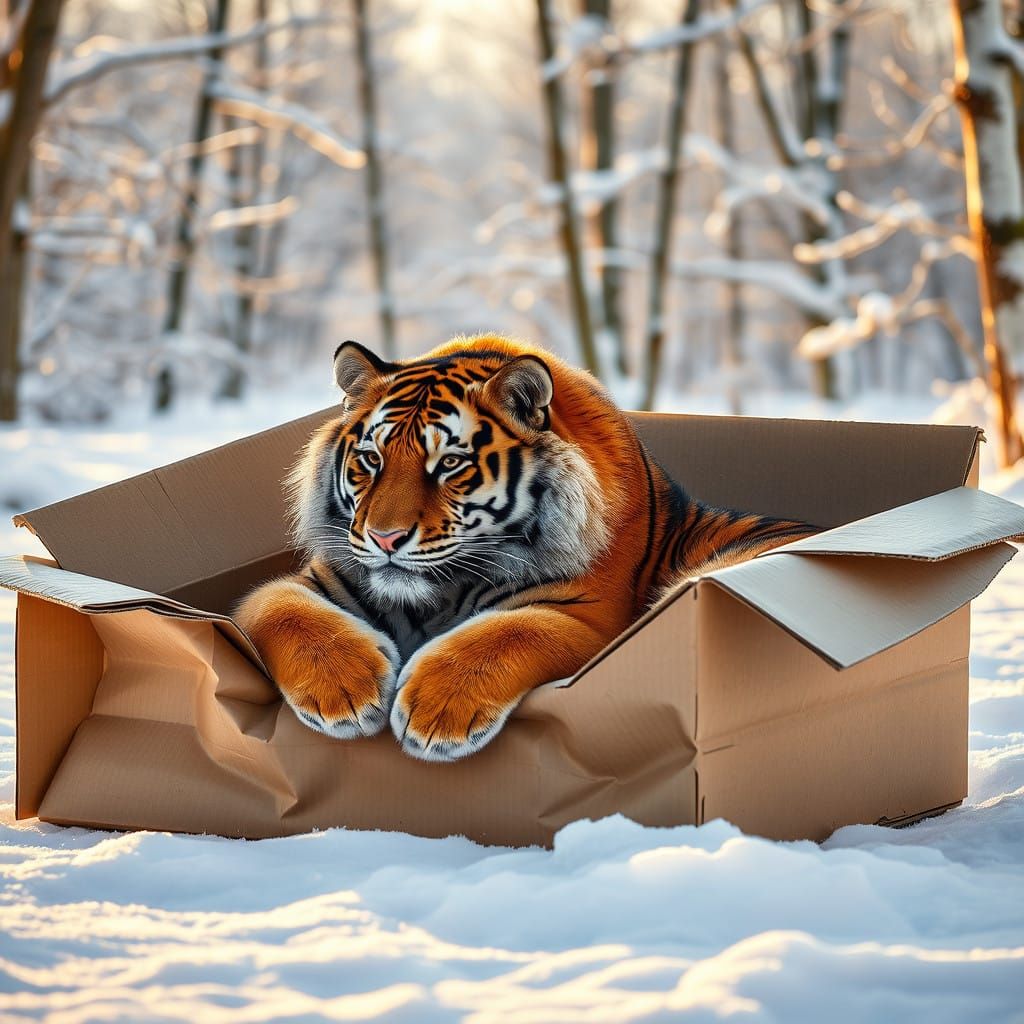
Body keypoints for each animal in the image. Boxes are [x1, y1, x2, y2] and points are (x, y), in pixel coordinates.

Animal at [234, 334, 816, 761]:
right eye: (372, 460)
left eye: (450, 464)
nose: (385, 538)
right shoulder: (310, 581)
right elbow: (283, 610)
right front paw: (344, 694)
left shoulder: (588, 616)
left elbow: (507, 631)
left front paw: (434, 714)